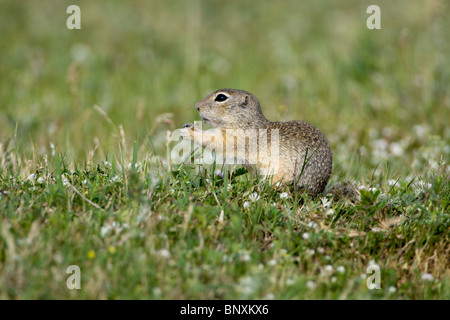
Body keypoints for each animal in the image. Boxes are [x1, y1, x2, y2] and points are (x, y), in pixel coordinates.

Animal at [180, 89, 334, 196]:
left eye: (221, 97)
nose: (197, 106)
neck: (245, 122)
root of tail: (317, 190)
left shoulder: (235, 138)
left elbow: (215, 141)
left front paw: (189, 132)